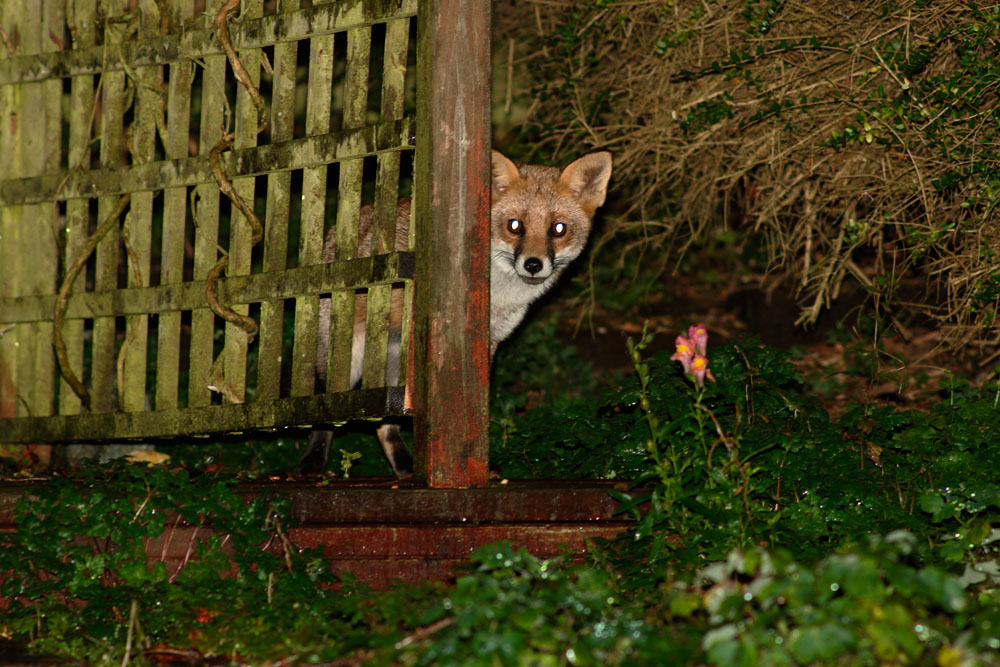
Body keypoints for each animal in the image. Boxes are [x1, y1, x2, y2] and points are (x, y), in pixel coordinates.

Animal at [299, 149, 613, 478]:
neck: (496, 296)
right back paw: (314, 462)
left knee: (385, 424)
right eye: (514, 226)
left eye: (558, 229)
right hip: (347, 356)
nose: (533, 264)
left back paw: (404, 466)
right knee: (328, 407)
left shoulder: (490, 342)